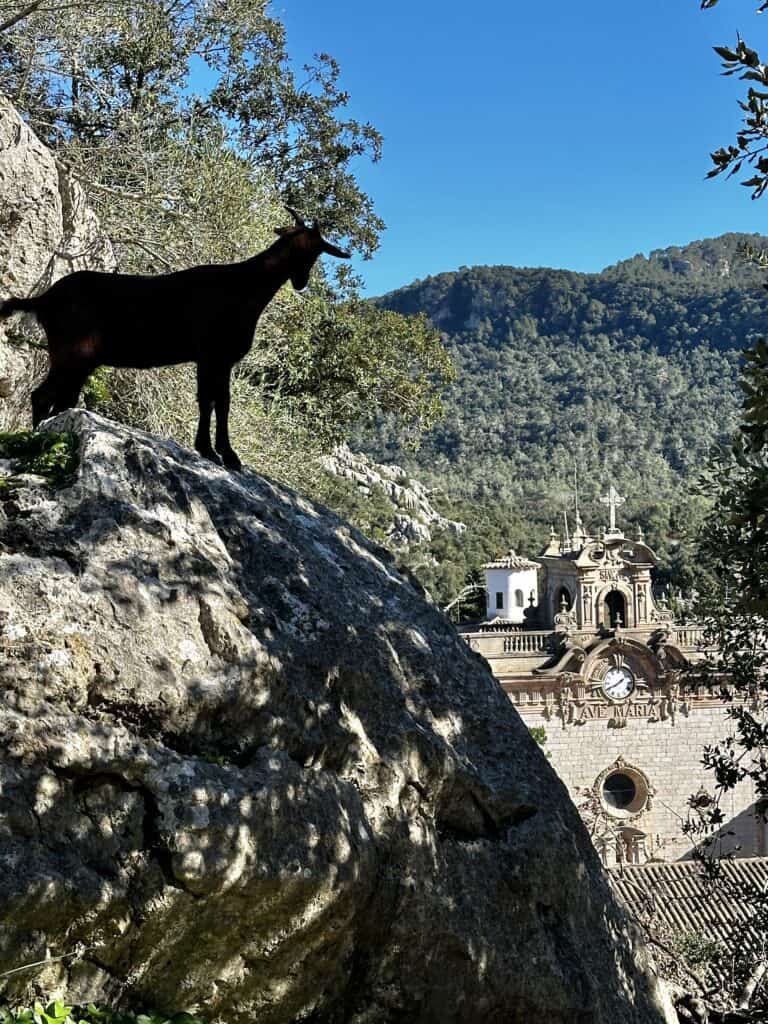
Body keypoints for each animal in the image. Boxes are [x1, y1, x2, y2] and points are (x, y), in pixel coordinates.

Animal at [0, 208, 350, 471]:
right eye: (310, 249)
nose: (301, 282)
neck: (243, 288)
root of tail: (44, 299)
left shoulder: (215, 360)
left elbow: (212, 401)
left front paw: (212, 451)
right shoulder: (213, 356)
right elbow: (216, 402)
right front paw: (222, 454)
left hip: (80, 361)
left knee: (62, 401)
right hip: (70, 352)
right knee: (41, 397)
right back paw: (35, 441)